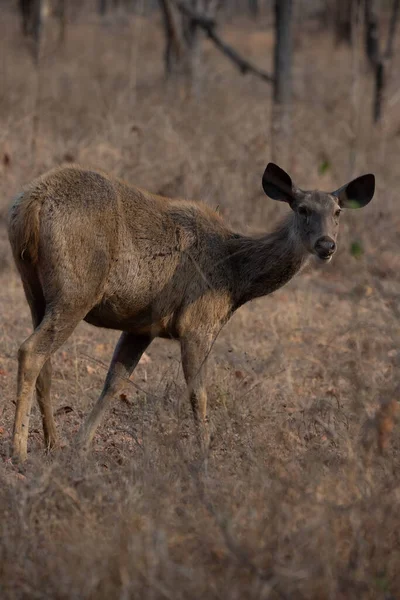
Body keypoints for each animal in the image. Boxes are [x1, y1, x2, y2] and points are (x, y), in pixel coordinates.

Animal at [7, 162, 376, 462]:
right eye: (302, 209)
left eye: (338, 211)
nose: (326, 245)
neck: (236, 278)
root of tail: (30, 204)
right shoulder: (198, 322)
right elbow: (198, 392)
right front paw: (204, 455)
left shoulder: (142, 326)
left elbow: (115, 381)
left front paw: (81, 445)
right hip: (77, 289)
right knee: (30, 350)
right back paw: (19, 450)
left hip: (34, 290)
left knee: (45, 360)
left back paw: (52, 443)